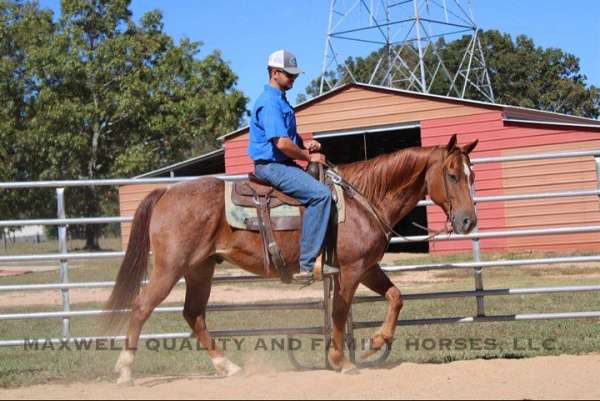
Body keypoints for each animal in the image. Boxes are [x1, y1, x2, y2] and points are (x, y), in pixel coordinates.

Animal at [103, 134, 478, 384]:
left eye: (472, 175)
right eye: (452, 175)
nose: (467, 222)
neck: (363, 200)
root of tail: (166, 192)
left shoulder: (367, 267)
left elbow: (396, 297)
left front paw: (374, 343)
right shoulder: (350, 270)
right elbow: (339, 312)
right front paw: (341, 361)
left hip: (200, 269)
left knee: (193, 314)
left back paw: (229, 367)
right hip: (171, 268)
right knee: (142, 307)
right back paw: (124, 371)